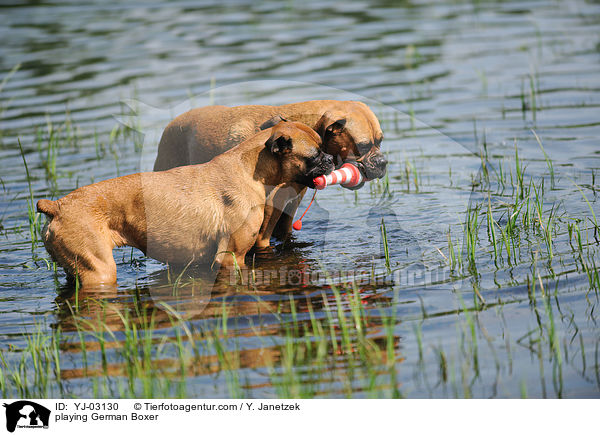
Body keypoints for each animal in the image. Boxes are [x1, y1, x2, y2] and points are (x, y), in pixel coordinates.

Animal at [38, 121, 336, 288]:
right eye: (314, 155)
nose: (331, 159)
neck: (249, 168)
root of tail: (57, 206)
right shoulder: (230, 258)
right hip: (99, 272)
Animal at [154, 99, 390, 249]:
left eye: (380, 141)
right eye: (363, 145)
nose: (383, 162)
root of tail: (169, 126)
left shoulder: (287, 212)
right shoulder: (263, 223)